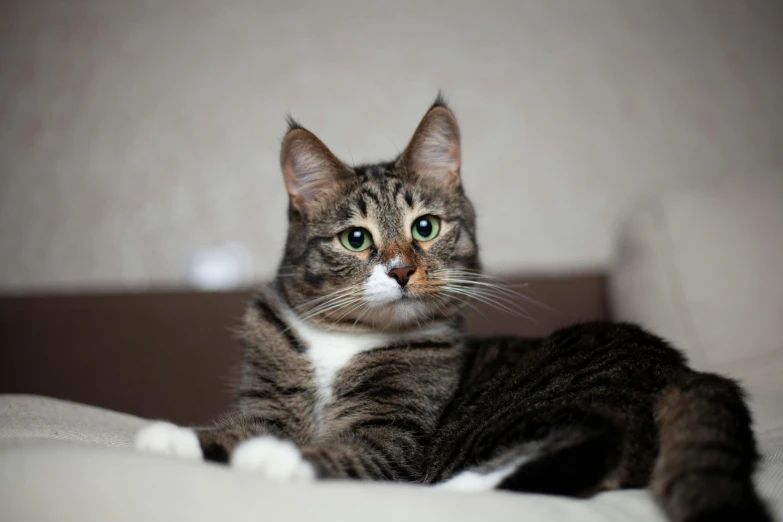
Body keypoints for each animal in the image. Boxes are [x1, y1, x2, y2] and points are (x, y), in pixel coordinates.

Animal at [136, 95, 772, 516]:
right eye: (356, 239)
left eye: (425, 227)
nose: (400, 269)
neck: (341, 340)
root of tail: (682, 369)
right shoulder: (268, 402)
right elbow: (235, 431)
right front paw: (174, 440)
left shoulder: (392, 438)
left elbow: (345, 453)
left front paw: (277, 459)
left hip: (539, 400)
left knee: (587, 444)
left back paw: (446, 491)